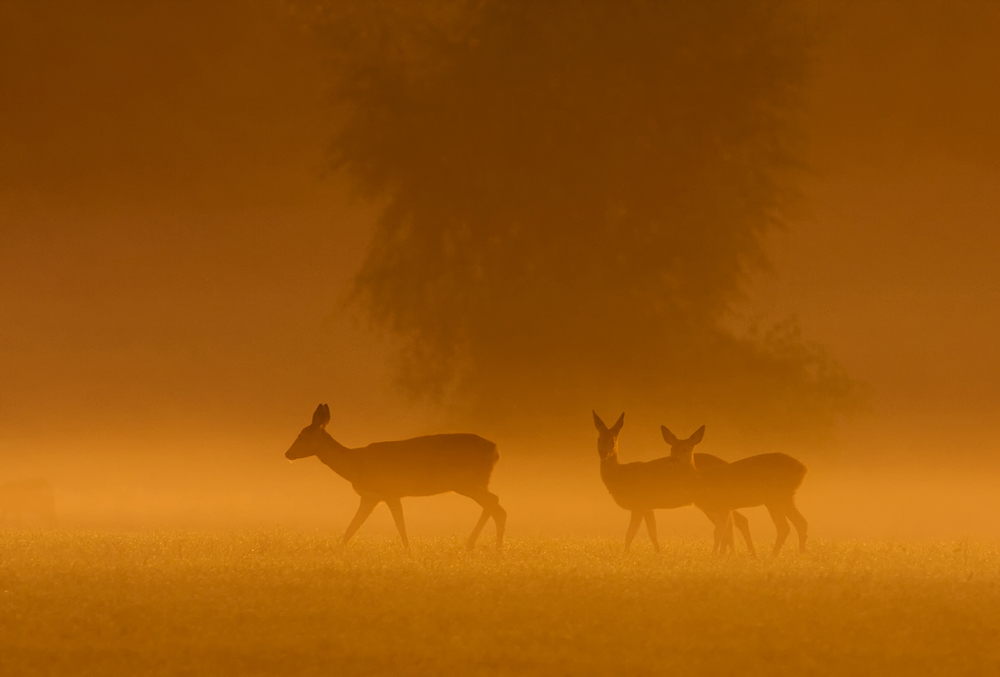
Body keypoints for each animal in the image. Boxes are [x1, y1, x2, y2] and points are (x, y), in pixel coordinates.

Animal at [288, 402, 508, 548]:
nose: (287, 453)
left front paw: (408, 552)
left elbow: (397, 525)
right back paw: (475, 546)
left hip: (467, 481)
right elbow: (356, 526)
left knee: (496, 505)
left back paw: (491, 549)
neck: (355, 464)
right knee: (493, 504)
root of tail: (495, 450)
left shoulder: (387, 492)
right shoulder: (374, 496)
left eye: (302, 436)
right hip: (477, 482)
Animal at [592, 412, 752, 556]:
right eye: (599, 439)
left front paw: (627, 554)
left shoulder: (640, 504)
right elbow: (651, 532)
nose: (604, 453)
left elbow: (632, 533)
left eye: (613, 440)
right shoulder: (647, 506)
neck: (620, 476)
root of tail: (728, 464)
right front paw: (657, 553)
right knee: (735, 521)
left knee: (735, 521)